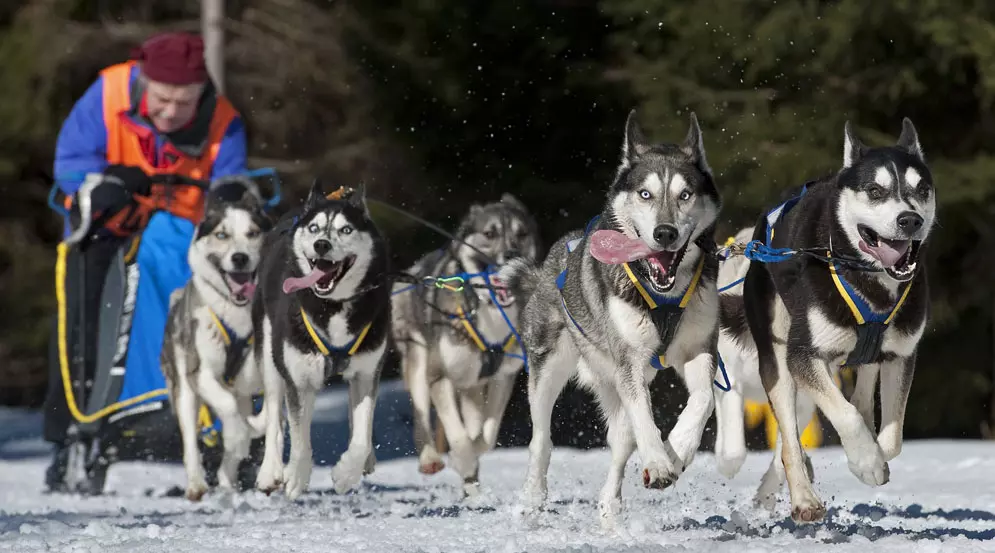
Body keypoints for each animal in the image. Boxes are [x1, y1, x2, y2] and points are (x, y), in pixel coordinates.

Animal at [163, 177, 272, 500]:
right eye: (222, 235)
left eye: (253, 233)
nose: (240, 258)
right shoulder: (201, 373)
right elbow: (227, 406)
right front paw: (237, 434)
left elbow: (264, 417)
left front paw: (250, 430)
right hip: (184, 392)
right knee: (191, 441)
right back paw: (197, 484)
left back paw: (226, 479)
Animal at [253, 179, 390, 498]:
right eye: (314, 228)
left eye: (346, 229)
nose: (322, 244)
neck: (333, 306)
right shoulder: (299, 379)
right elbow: (300, 437)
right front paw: (296, 476)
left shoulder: (367, 373)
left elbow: (362, 433)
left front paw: (346, 473)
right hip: (271, 360)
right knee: (276, 419)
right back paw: (272, 471)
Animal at [392, 195, 540, 496]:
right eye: (489, 234)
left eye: (522, 233)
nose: (511, 254)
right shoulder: (439, 377)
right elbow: (458, 436)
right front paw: (462, 459)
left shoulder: (503, 377)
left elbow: (486, 435)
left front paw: (473, 457)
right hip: (418, 361)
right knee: (421, 415)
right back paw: (430, 459)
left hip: (472, 387)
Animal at [502, 111, 720, 528]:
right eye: (645, 194)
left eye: (685, 194)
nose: (665, 233)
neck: (663, 295)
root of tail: (547, 265)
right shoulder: (630, 363)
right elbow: (646, 419)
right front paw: (660, 461)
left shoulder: (699, 349)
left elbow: (705, 399)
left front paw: (677, 450)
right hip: (550, 366)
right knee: (542, 439)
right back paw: (533, 497)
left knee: (621, 444)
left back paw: (611, 508)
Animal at [728, 117, 936, 520]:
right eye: (875, 190)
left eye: (921, 189)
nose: (911, 220)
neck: (866, 277)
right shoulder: (804, 355)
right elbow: (846, 417)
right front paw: (866, 462)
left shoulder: (902, 354)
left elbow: (892, 436)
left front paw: (873, 454)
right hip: (777, 360)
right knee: (790, 444)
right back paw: (804, 499)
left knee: (858, 392)